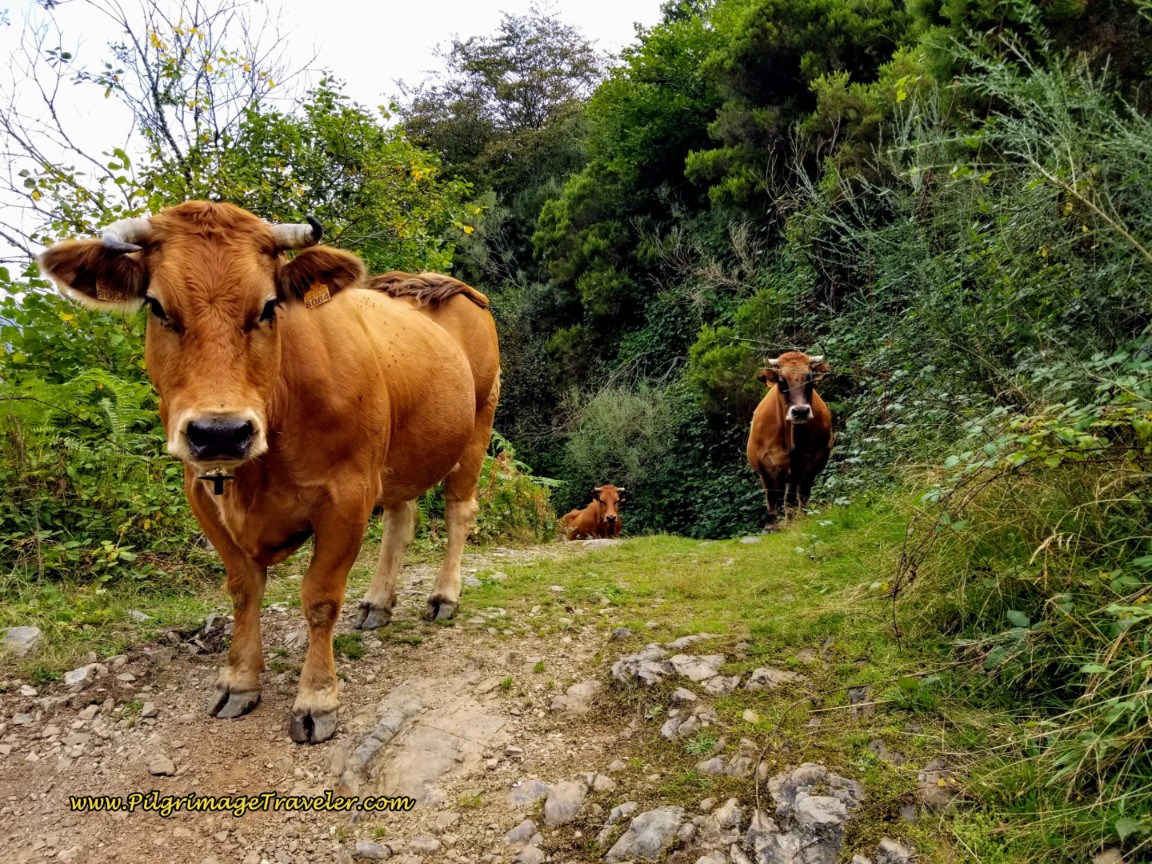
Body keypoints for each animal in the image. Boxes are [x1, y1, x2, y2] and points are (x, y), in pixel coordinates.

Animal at [39, 201, 500, 744]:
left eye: (268, 306)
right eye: (157, 307)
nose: (220, 432)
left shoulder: (348, 495)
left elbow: (320, 598)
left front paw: (316, 699)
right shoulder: (202, 491)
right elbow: (243, 589)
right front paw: (239, 680)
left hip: (476, 427)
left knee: (458, 512)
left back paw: (444, 596)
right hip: (399, 455)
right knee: (401, 519)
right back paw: (377, 604)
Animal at [746, 351, 832, 531]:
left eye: (810, 378)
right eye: (781, 381)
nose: (800, 411)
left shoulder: (804, 464)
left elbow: (793, 497)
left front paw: (793, 522)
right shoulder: (764, 463)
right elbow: (772, 496)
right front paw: (771, 526)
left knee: (799, 494)